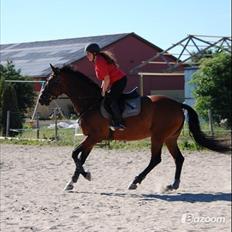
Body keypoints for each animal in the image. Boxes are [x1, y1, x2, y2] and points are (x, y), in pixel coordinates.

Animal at [39, 64, 229, 191]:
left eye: (50, 81)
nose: (41, 99)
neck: (91, 103)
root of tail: (177, 104)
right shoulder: (91, 139)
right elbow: (80, 158)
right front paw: (72, 182)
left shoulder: (94, 137)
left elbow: (74, 154)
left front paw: (85, 176)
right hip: (170, 138)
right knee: (179, 159)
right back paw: (172, 185)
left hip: (158, 136)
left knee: (156, 159)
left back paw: (135, 181)